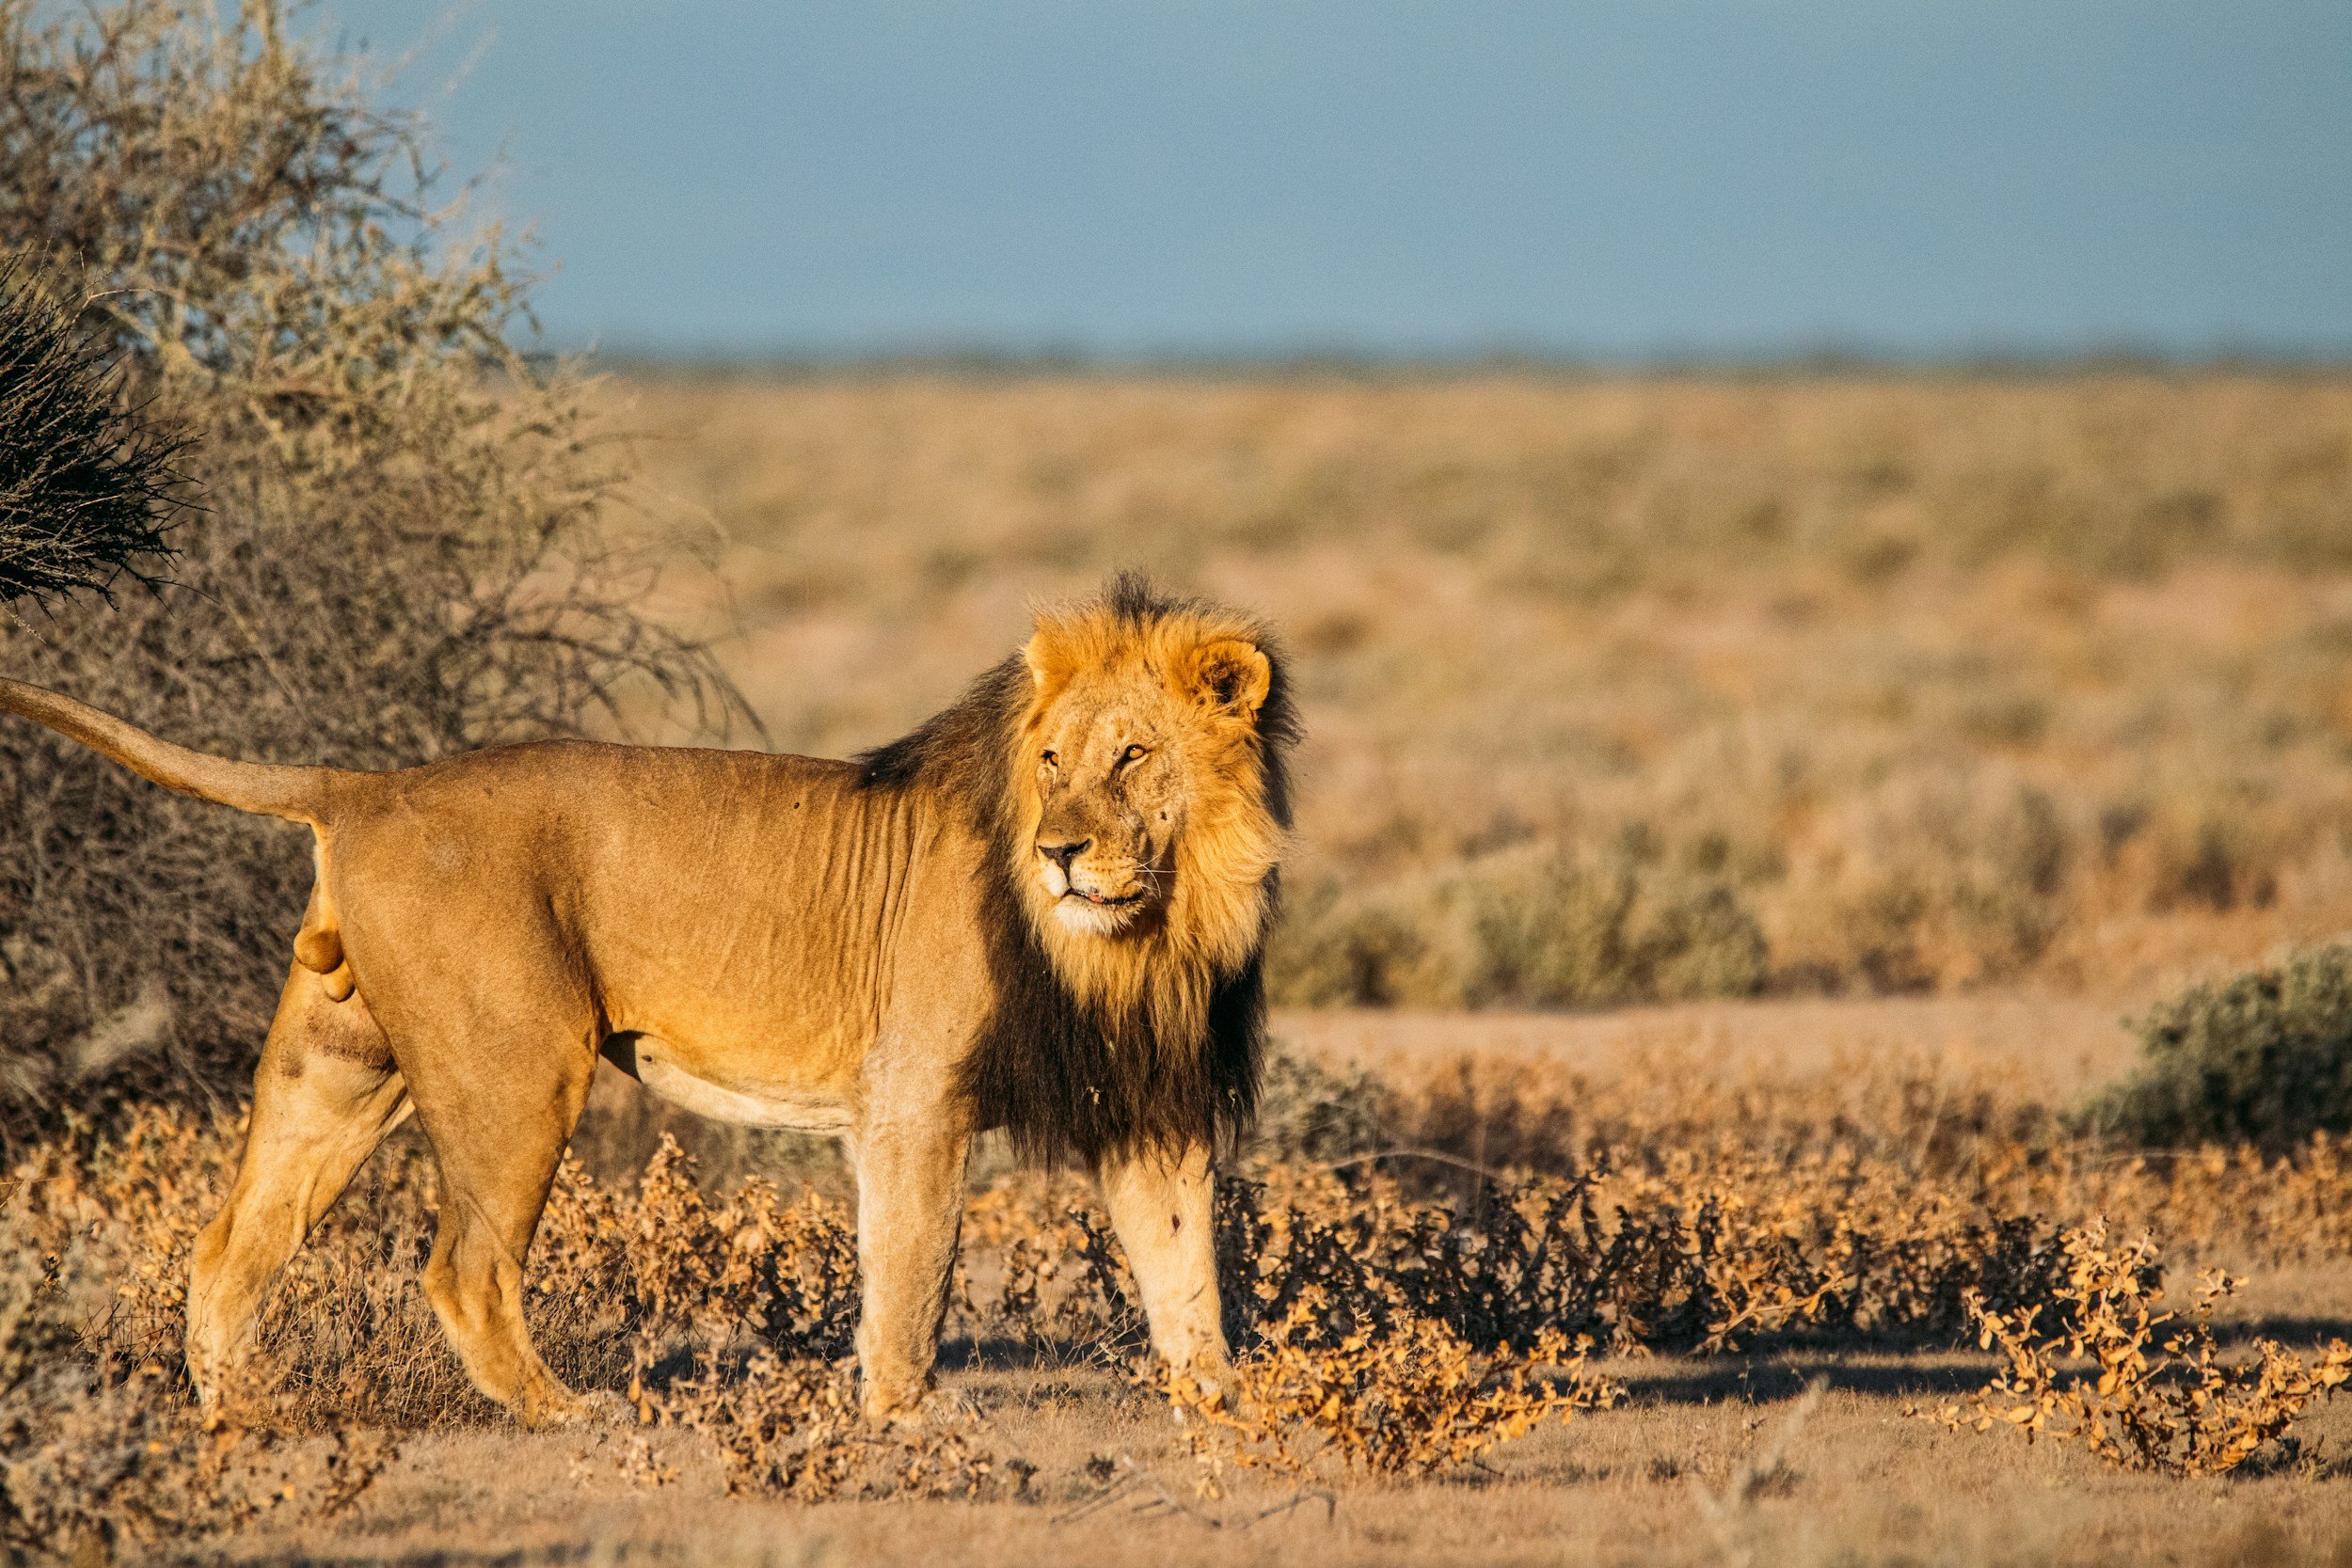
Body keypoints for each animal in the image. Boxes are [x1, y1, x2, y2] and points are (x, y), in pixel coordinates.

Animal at [0, 573, 1295, 1425]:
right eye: (1050, 762)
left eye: (1132, 756)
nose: (1060, 851)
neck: (1141, 937)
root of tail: (365, 783)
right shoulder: (915, 1095)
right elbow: (913, 1272)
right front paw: (904, 1422)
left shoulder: (1148, 1103)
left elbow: (1186, 1277)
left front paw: (1238, 1415)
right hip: (518, 1066)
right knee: (462, 1267)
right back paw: (569, 1414)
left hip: (338, 1065)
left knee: (231, 1244)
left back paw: (243, 1416)